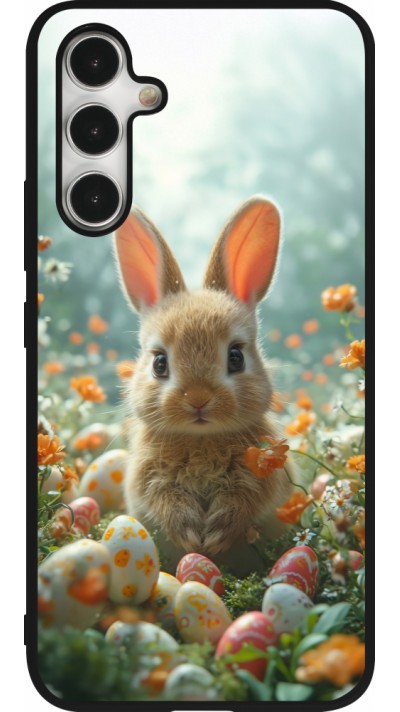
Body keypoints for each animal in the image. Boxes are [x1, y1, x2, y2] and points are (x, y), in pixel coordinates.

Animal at [114, 196, 293, 573]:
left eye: (236, 357)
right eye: (159, 363)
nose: (198, 399)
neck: (201, 438)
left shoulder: (263, 475)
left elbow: (244, 500)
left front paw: (215, 536)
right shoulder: (148, 478)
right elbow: (164, 500)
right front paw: (191, 535)